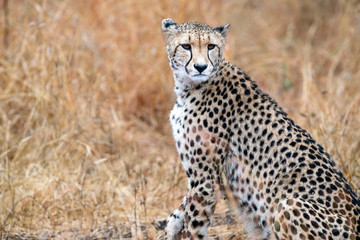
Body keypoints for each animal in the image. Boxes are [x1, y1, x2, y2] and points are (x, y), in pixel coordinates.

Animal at [162, 18, 360, 240]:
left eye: (211, 46)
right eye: (186, 46)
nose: (201, 66)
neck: (189, 88)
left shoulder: (206, 180)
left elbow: (194, 225)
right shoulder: (202, 177)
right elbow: (180, 211)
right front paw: (171, 228)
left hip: (289, 204)